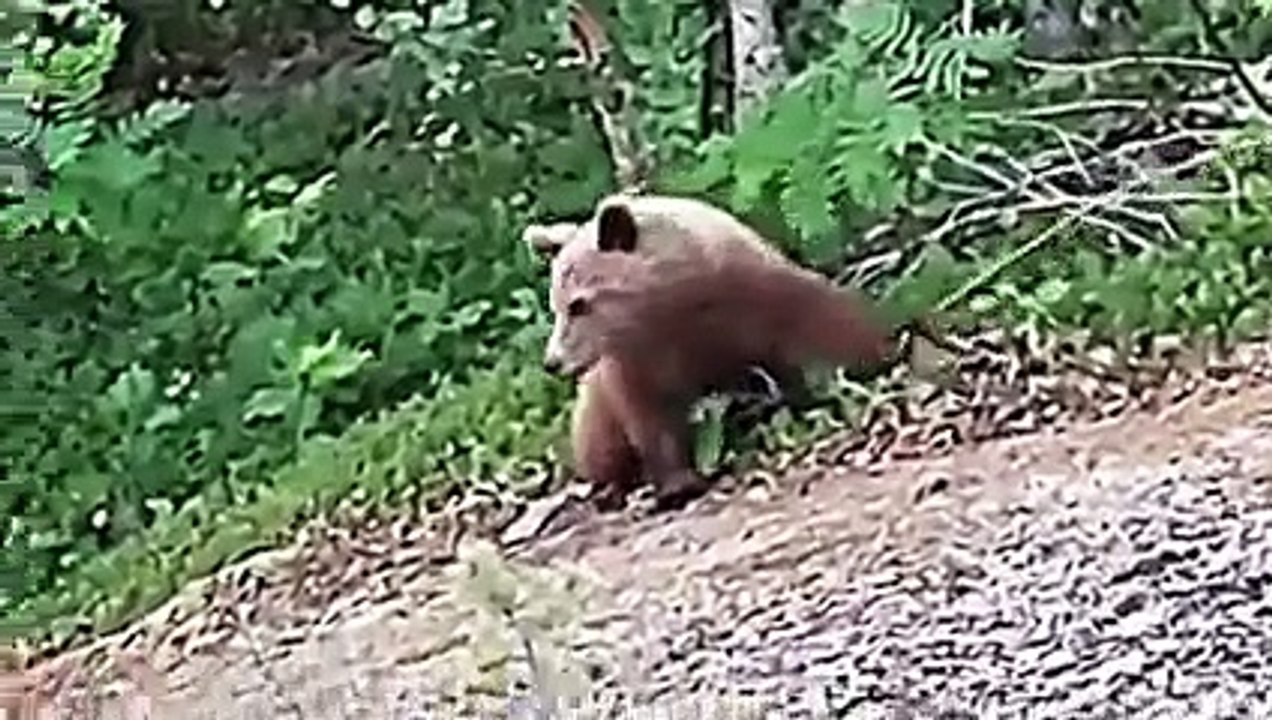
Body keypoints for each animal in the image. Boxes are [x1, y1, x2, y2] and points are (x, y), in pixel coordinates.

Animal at [527, 193, 895, 511]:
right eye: (557, 304)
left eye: (579, 304)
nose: (552, 361)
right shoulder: (637, 363)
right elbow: (649, 420)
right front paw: (677, 485)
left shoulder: (755, 302)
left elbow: (827, 331)